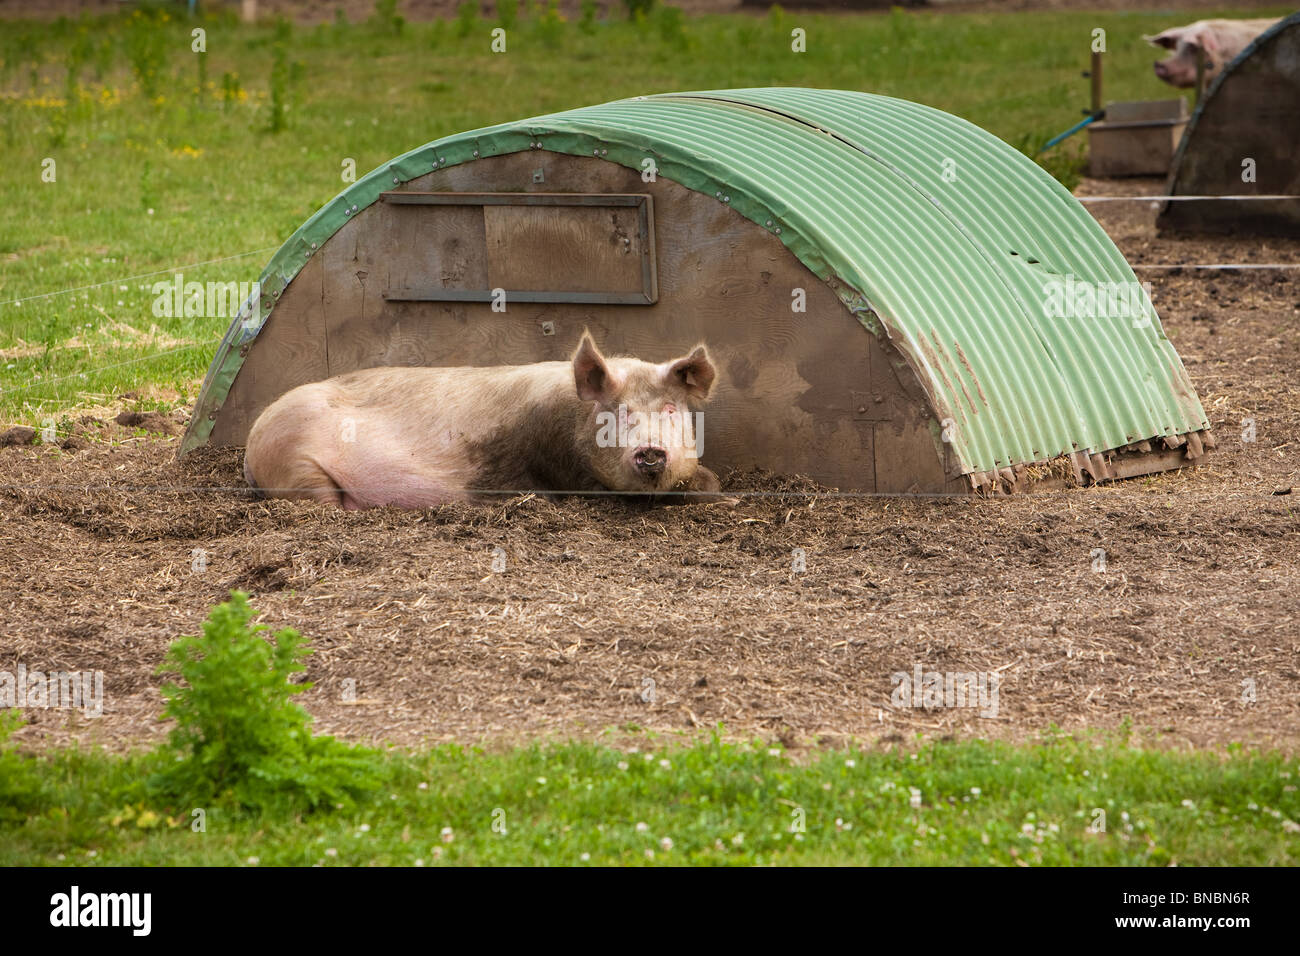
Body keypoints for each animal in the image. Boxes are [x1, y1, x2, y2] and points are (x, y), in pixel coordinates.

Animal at [242, 332, 723, 509]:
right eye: (619, 412)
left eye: (670, 409)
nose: (650, 452)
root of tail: (251, 443)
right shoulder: (566, 475)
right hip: (296, 461)